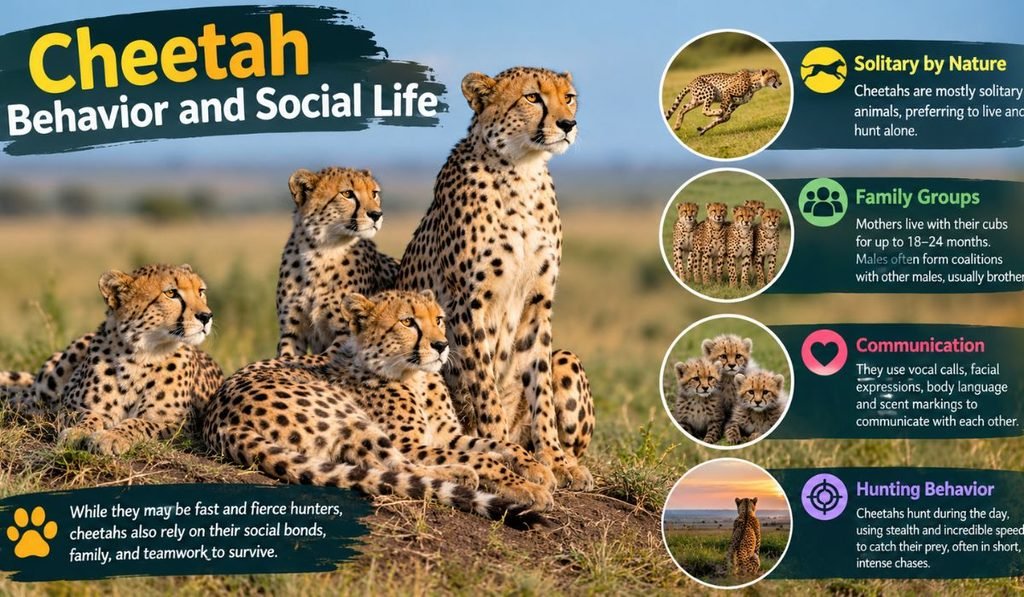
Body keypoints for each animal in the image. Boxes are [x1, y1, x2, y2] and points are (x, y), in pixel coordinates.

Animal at [0, 264, 223, 455]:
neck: (141, 356)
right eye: (171, 293)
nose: (207, 316)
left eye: (201, 291)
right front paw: (78, 432)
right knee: (25, 397)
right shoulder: (69, 406)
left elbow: (141, 423)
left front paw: (111, 437)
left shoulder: (182, 426)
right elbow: (88, 414)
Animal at [203, 289, 553, 529]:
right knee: (391, 466)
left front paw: (536, 469)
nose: (441, 345)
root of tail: (220, 420)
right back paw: (461, 475)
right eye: (408, 322)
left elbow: (499, 444)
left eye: (438, 319)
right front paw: (526, 487)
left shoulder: (447, 436)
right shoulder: (411, 443)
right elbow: (480, 456)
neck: (416, 376)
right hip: (350, 416)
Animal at [276, 166, 399, 358]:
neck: (320, 252)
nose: (377, 214)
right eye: (347, 193)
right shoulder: (291, 332)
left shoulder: (346, 334)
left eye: (374, 193)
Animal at [394, 66, 594, 489]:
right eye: (533, 97)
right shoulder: (467, 304)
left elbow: (541, 390)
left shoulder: (538, 303)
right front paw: (510, 451)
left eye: (568, 97)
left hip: (566, 358)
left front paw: (555, 459)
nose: (568, 124)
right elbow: (485, 386)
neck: (522, 170)